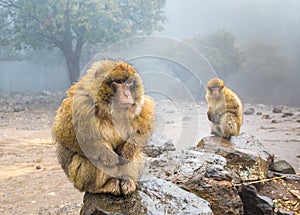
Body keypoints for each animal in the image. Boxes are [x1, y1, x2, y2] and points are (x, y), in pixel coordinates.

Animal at [52, 59, 155, 196]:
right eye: (118, 82)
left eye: (129, 83)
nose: (127, 95)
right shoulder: (80, 102)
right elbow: (63, 132)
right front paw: (108, 156)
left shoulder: (140, 103)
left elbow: (144, 128)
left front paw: (128, 152)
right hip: (78, 179)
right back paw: (104, 186)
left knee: (135, 155)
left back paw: (127, 181)